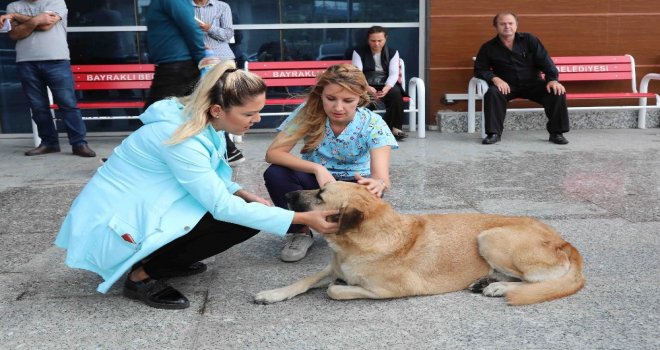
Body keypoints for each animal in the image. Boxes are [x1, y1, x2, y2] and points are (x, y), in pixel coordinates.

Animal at [255, 182, 584, 304]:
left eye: (321, 195)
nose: (288, 196)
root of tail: (565, 242)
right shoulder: (329, 268)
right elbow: (303, 281)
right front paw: (273, 293)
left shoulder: (389, 290)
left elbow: (335, 290)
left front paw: (340, 287)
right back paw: (489, 282)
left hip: (490, 237)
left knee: (533, 282)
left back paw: (499, 287)